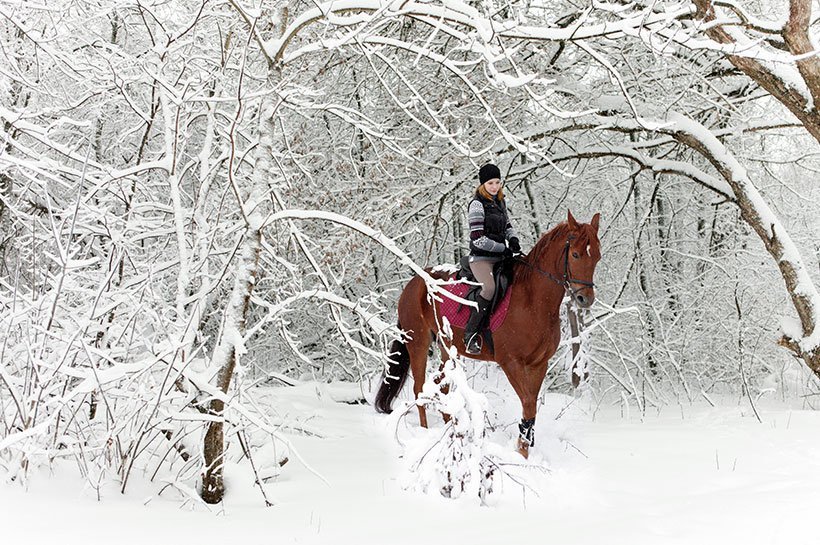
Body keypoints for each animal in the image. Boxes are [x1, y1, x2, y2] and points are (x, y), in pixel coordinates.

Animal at [374, 210, 600, 456]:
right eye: (576, 254)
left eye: (597, 257)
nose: (585, 299)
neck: (533, 301)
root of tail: (414, 282)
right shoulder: (511, 363)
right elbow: (528, 404)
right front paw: (522, 452)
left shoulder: (538, 364)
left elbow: (531, 406)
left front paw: (524, 450)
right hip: (418, 342)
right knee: (419, 388)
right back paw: (426, 434)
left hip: (446, 347)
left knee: (442, 385)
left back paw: (450, 430)